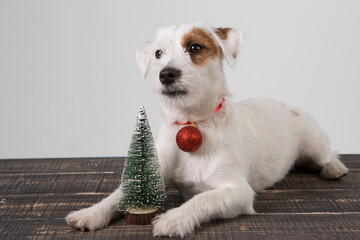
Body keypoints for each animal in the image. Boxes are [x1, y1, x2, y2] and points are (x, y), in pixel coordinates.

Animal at [65, 23, 348, 237]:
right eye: (158, 53)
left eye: (195, 47)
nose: (166, 74)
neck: (191, 121)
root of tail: (286, 104)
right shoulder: (153, 174)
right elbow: (118, 195)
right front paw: (90, 212)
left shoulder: (237, 192)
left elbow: (201, 199)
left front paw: (174, 219)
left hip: (313, 141)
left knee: (328, 154)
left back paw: (334, 168)